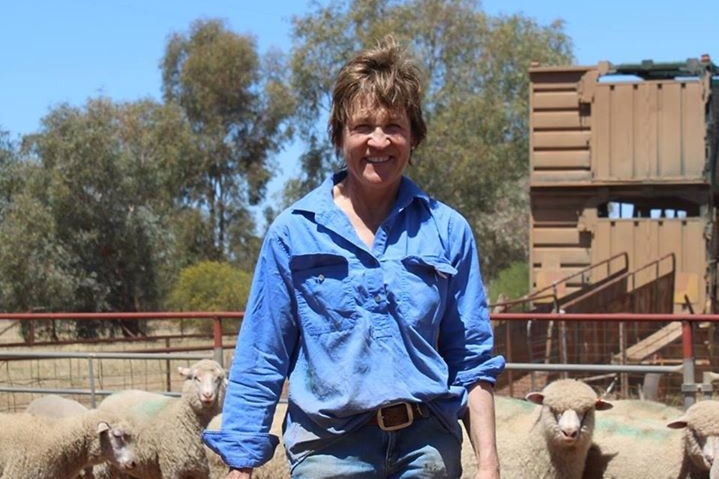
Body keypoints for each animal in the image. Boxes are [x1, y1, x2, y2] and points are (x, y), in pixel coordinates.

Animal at [94, 360, 226, 479]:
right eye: (196, 378)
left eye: (218, 378)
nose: (207, 395)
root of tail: (109, 397)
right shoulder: (172, 468)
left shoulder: (203, 472)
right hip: (104, 465)